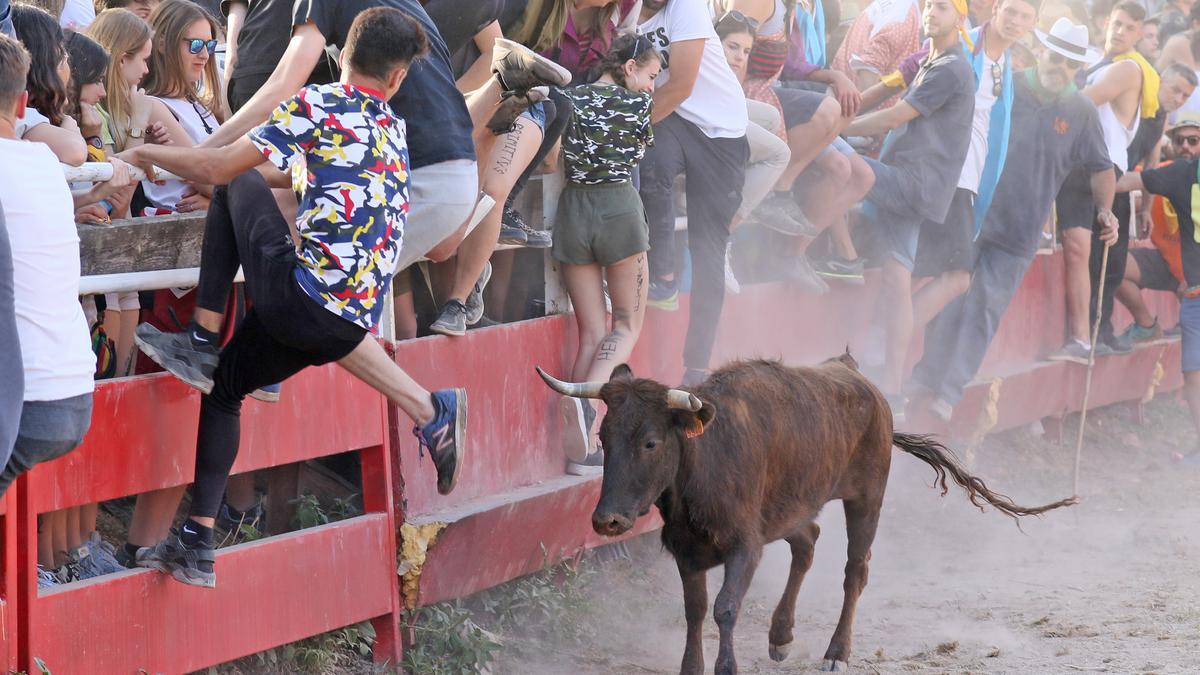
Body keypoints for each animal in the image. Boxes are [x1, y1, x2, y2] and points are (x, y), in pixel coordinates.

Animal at [540, 355, 1075, 667]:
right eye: (604, 437)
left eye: (651, 442)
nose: (608, 520)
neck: (702, 464)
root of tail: (857, 376)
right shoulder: (688, 551)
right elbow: (695, 611)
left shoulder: (745, 547)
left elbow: (725, 608)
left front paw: (727, 667)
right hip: (790, 508)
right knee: (808, 542)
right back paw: (781, 635)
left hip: (867, 497)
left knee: (854, 570)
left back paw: (837, 652)